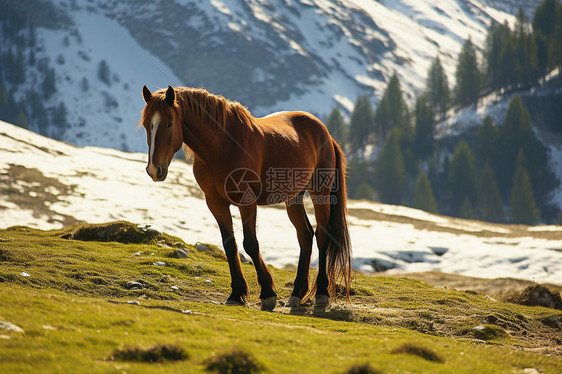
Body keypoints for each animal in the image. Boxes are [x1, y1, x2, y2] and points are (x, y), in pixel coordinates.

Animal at [139, 84, 350, 310]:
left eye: (170, 123)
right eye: (147, 125)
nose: (154, 170)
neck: (221, 147)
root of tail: (325, 132)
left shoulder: (246, 201)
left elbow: (250, 243)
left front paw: (267, 293)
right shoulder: (215, 202)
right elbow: (229, 245)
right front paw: (236, 294)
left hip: (321, 193)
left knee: (322, 236)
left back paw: (321, 293)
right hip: (293, 197)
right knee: (305, 235)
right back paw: (296, 293)